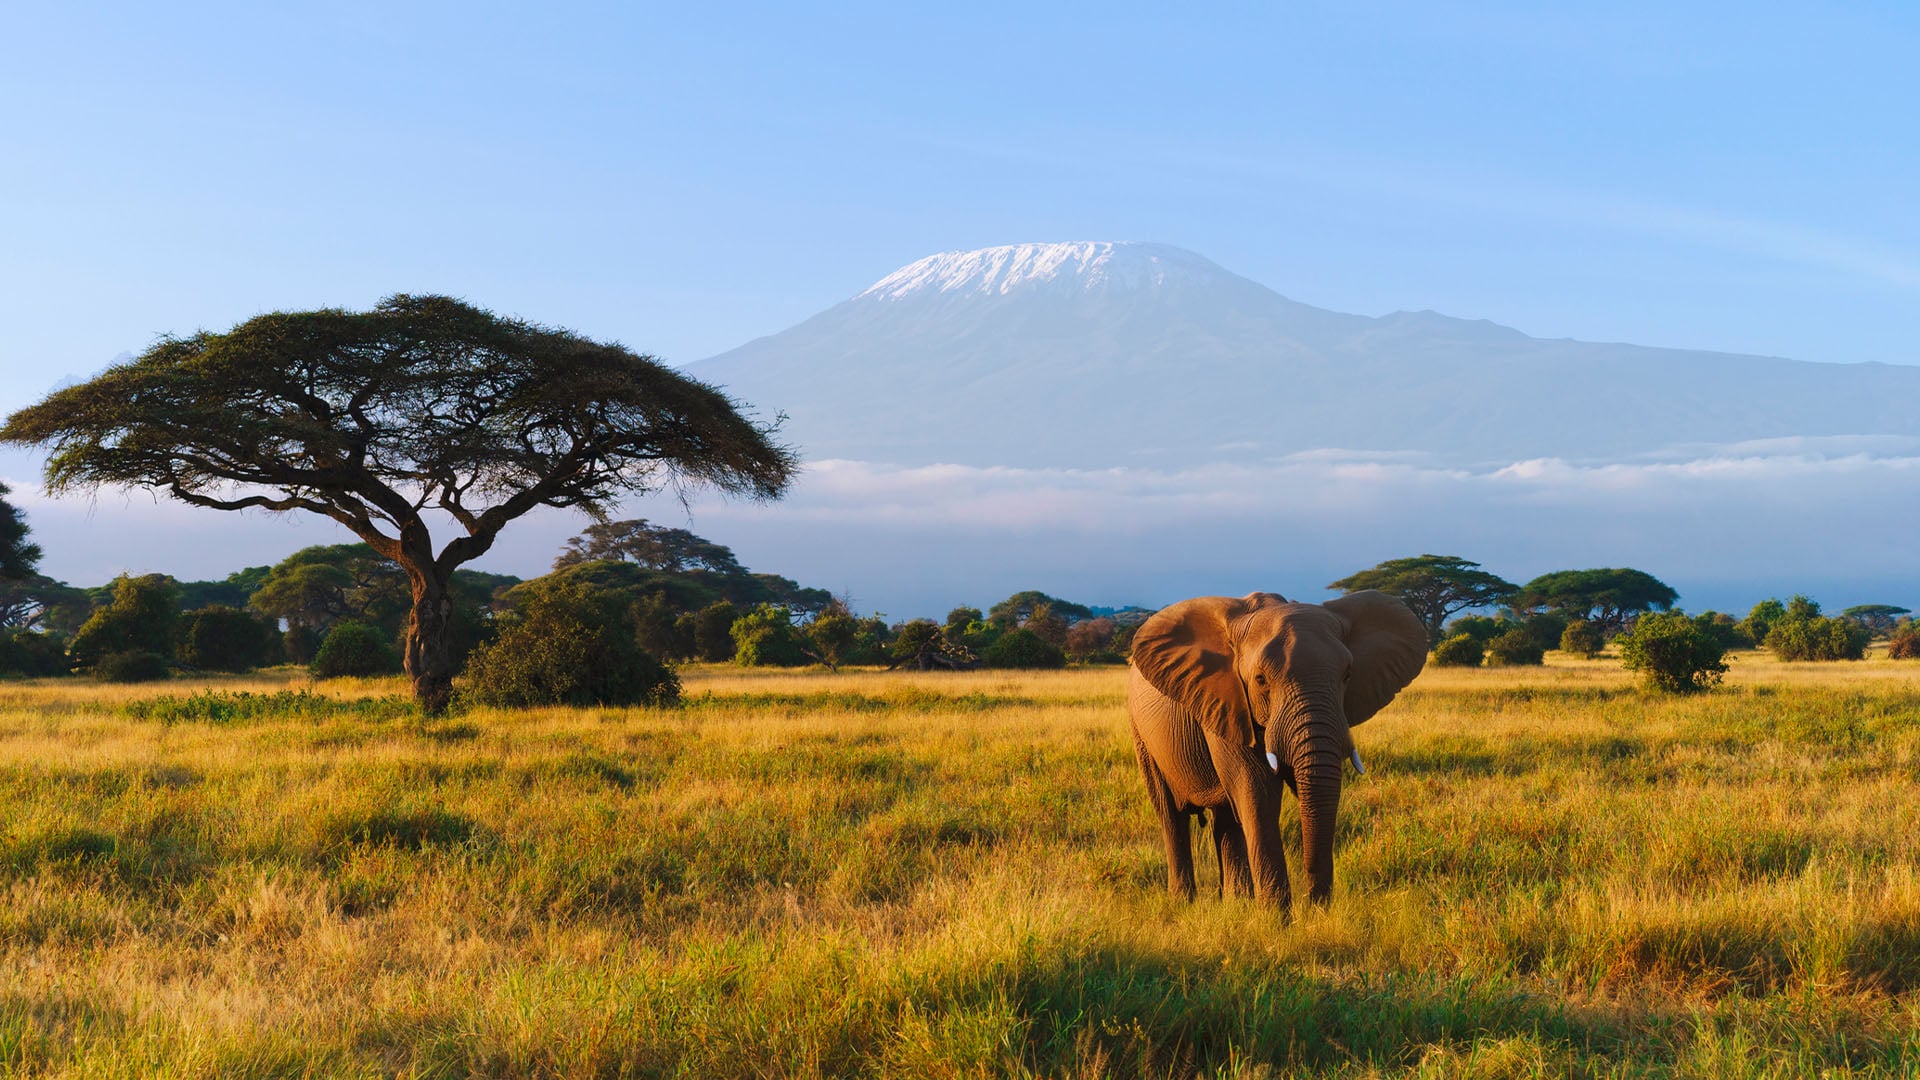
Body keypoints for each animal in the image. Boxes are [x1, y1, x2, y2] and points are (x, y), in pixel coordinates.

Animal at [1128, 589, 1426, 910]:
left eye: (1347, 676)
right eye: (1260, 680)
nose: (1314, 903)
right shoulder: (1227, 702)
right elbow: (1258, 794)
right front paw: (1275, 916)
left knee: (1226, 818)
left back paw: (1236, 901)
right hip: (1141, 734)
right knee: (1171, 815)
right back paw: (1184, 901)